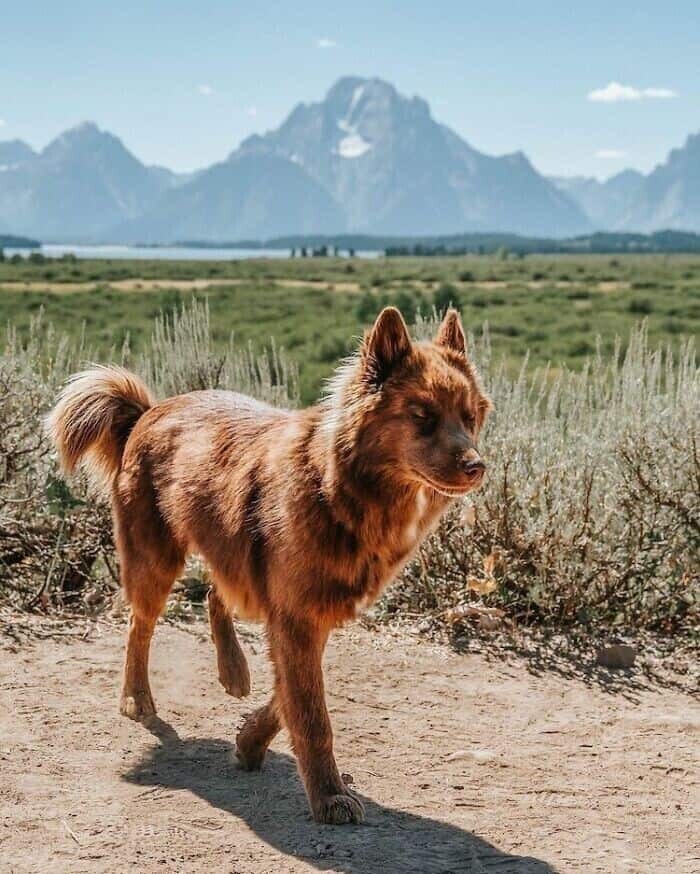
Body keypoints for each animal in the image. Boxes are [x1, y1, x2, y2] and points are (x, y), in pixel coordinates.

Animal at [46, 308, 490, 824]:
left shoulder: (309, 614)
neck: (337, 489)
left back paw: (233, 670)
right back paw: (136, 697)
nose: (476, 467)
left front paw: (249, 741)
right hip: (155, 558)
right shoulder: (296, 617)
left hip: (231, 553)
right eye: (422, 416)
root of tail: (147, 412)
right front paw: (328, 795)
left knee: (216, 593)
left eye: (469, 416)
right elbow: (312, 714)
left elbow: (289, 695)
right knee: (141, 625)